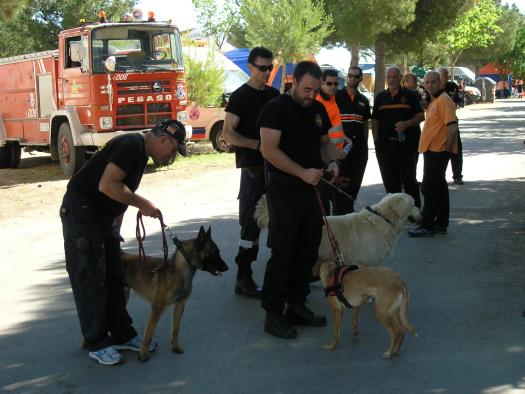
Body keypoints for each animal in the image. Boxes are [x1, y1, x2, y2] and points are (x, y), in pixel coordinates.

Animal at [124, 226, 230, 362]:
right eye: (215, 252)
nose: (227, 268)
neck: (180, 271)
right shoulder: (157, 308)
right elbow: (149, 333)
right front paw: (143, 354)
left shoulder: (180, 305)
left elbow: (175, 329)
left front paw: (175, 347)